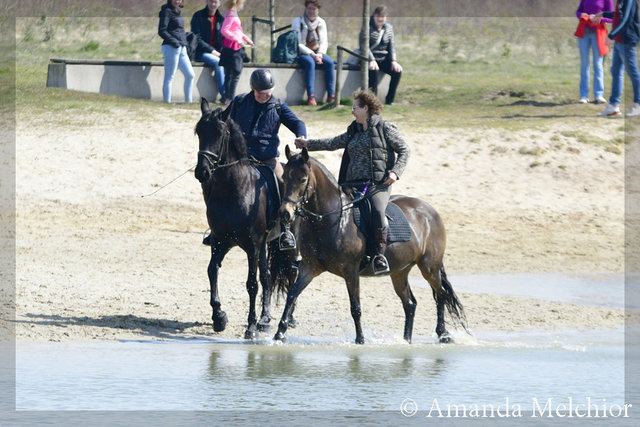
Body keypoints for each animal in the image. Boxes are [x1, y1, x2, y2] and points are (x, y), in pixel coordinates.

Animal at [195, 98, 296, 340]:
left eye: (220, 133)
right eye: (199, 132)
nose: (202, 171)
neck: (233, 189)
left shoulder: (252, 245)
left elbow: (251, 284)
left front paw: (250, 327)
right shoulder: (220, 241)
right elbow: (212, 271)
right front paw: (219, 317)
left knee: (291, 275)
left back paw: (287, 318)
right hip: (264, 245)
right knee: (267, 276)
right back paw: (265, 319)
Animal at [274, 147, 464, 344]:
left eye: (303, 179)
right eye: (284, 177)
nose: (285, 213)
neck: (329, 221)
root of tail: (430, 210)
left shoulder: (350, 271)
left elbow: (355, 307)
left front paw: (360, 339)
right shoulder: (309, 267)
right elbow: (292, 295)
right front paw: (279, 333)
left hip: (429, 267)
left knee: (440, 294)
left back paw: (443, 333)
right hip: (399, 272)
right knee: (410, 304)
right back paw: (406, 340)